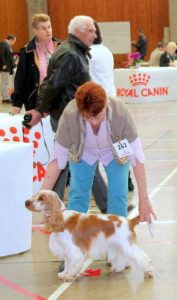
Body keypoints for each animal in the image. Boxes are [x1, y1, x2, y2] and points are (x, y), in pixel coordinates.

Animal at [25, 190, 153, 282]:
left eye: (41, 198)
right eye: (35, 194)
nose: (26, 202)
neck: (60, 218)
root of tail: (129, 221)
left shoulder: (73, 250)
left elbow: (71, 264)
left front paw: (69, 276)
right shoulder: (66, 250)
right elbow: (67, 263)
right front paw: (63, 274)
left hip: (126, 244)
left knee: (142, 257)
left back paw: (148, 272)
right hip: (117, 245)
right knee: (121, 257)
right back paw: (117, 268)